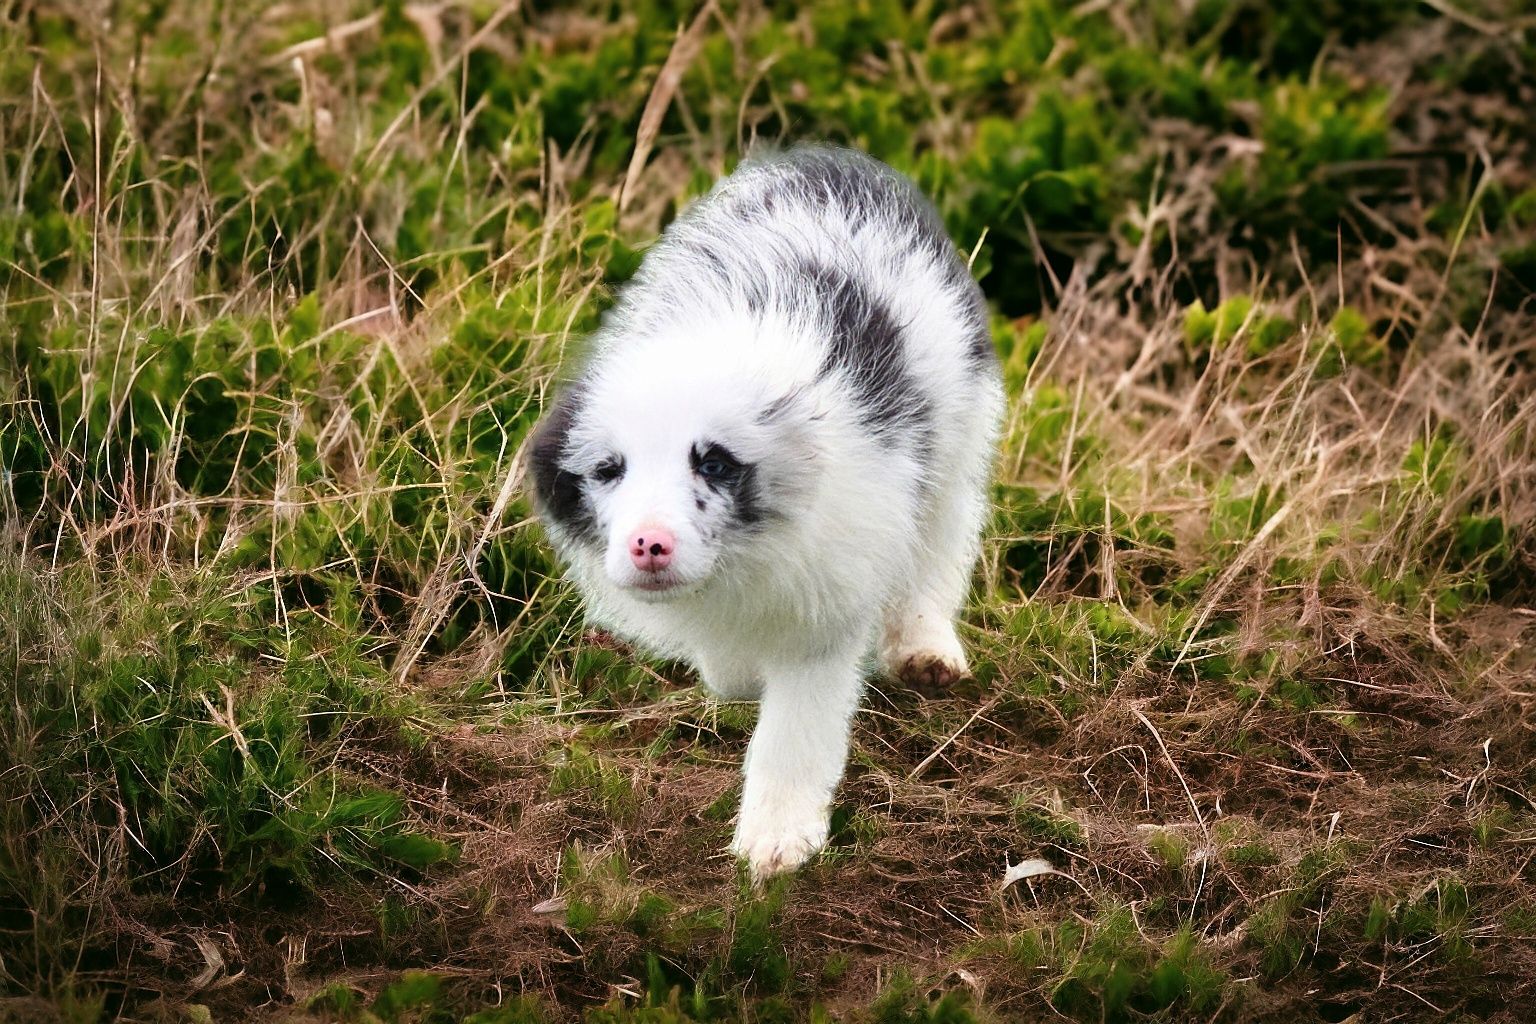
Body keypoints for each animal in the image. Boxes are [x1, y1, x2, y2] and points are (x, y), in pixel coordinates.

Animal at [531, 145, 1007, 884]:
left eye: (715, 463)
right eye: (609, 470)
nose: (649, 544)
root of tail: (837, 160)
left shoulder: (832, 599)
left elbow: (796, 730)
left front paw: (778, 840)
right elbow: (731, 665)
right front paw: (738, 677)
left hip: (956, 441)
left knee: (941, 543)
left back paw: (926, 648)